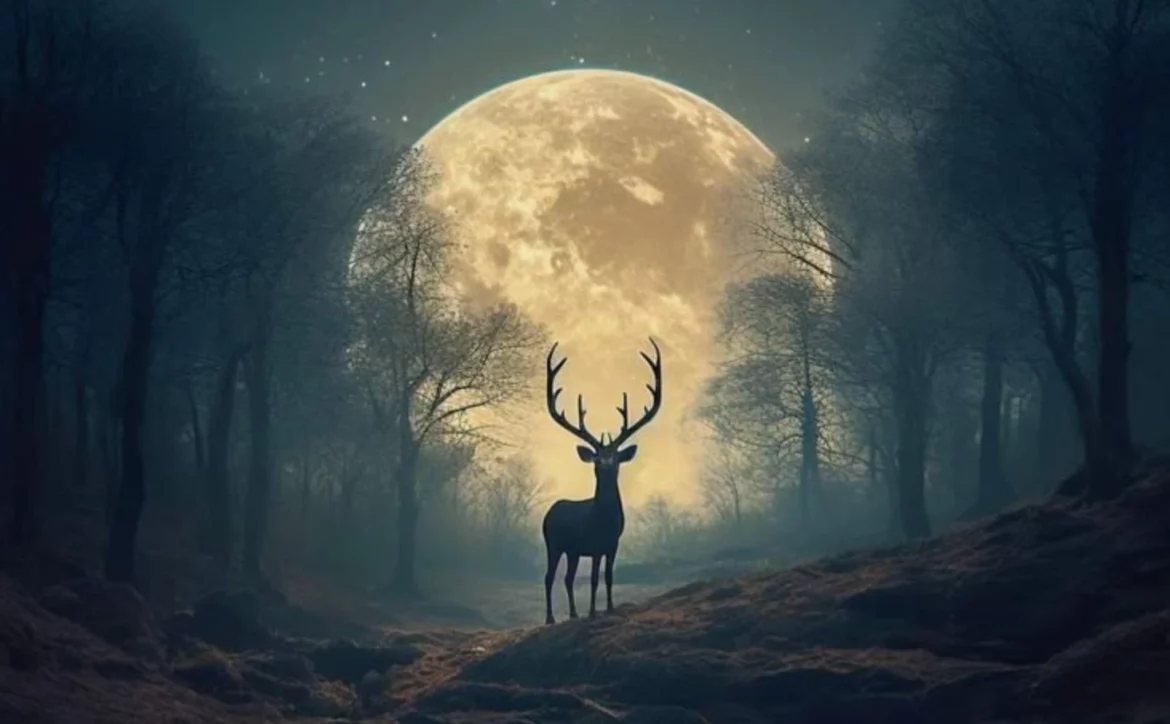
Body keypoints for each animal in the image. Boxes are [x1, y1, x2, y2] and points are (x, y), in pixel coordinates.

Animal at [541, 337, 663, 625]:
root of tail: (549, 512)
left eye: (616, 458)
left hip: (573, 551)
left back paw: (573, 613)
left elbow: (608, 577)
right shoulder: (594, 545)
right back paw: (550, 618)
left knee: (567, 578)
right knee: (549, 577)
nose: (606, 463)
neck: (603, 522)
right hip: (553, 543)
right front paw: (593, 612)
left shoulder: (613, 543)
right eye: (597, 459)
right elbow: (595, 579)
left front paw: (609, 608)